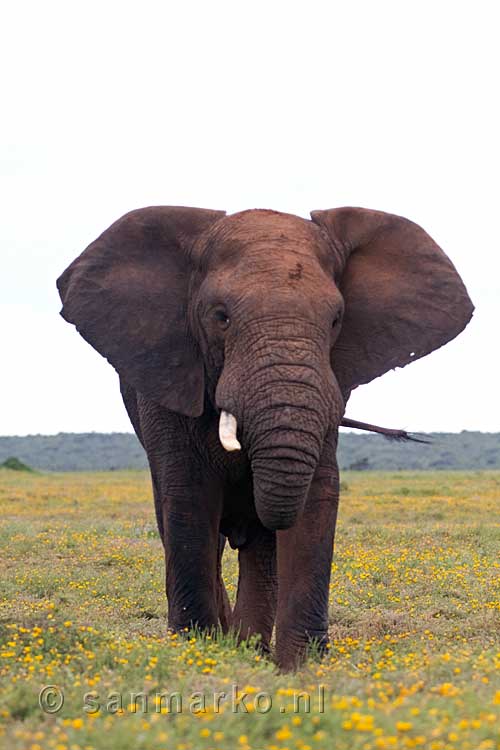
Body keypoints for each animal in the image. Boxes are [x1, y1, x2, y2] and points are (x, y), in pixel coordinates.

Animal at [56, 207, 474, 676]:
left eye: (336, 320)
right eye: (220, 316)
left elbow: (315, 495)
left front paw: (299, 670)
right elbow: (189, 496)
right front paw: (198, 656)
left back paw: (247, 647)